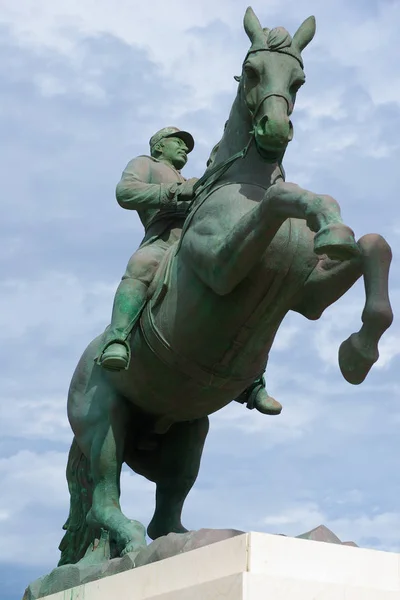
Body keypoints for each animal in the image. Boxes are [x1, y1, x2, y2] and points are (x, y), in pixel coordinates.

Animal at [58, 7, 390, 564]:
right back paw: (131, 543)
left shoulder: (311, 297)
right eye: (251, 71)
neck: (243, 184)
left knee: (166, 513)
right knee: (107, 500)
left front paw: (358, 353)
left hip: (189, 433)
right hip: (104, 422)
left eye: (299, 79)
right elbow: (285, 198)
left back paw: (186, 540)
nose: (275, 128)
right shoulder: (220, 265)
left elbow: (372, 245)